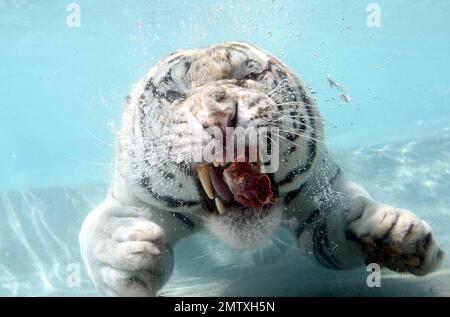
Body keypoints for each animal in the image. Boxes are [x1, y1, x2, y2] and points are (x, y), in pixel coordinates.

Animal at [79, 40, 444, 296]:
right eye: (172, 94)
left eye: (250, 76)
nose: (219, 116)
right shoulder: (130, 198)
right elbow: (96, 229)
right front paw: (128, 251)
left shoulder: (319, 190)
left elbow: (345, 222)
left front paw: (396, 232)